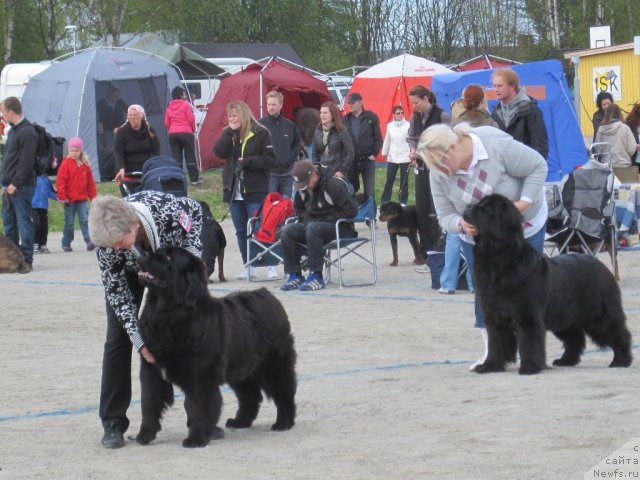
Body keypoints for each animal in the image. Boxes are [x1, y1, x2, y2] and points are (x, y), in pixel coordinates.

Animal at [462, 194, 632, 376]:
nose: (468, 207)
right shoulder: (494, 315)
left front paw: (530, 367)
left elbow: (528, 342)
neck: (497, 257)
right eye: (479, 204)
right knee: (575, 338)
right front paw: (490, 366)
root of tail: (602, 266)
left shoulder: (527, 315)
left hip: (599, 317)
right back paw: (566, 360)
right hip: (565, 316)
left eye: (488, 209)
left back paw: (622, 360)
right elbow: (495, 343)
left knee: (619, 333)